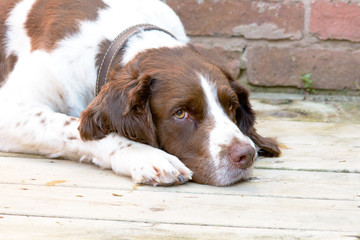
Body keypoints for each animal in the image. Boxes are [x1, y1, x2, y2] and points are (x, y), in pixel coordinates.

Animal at [0, 0, 280, 186]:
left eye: (231, 106)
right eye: (180, 113)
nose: (245, 155)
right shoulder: (11, 110)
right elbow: (76, 129)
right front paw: (147, 156)